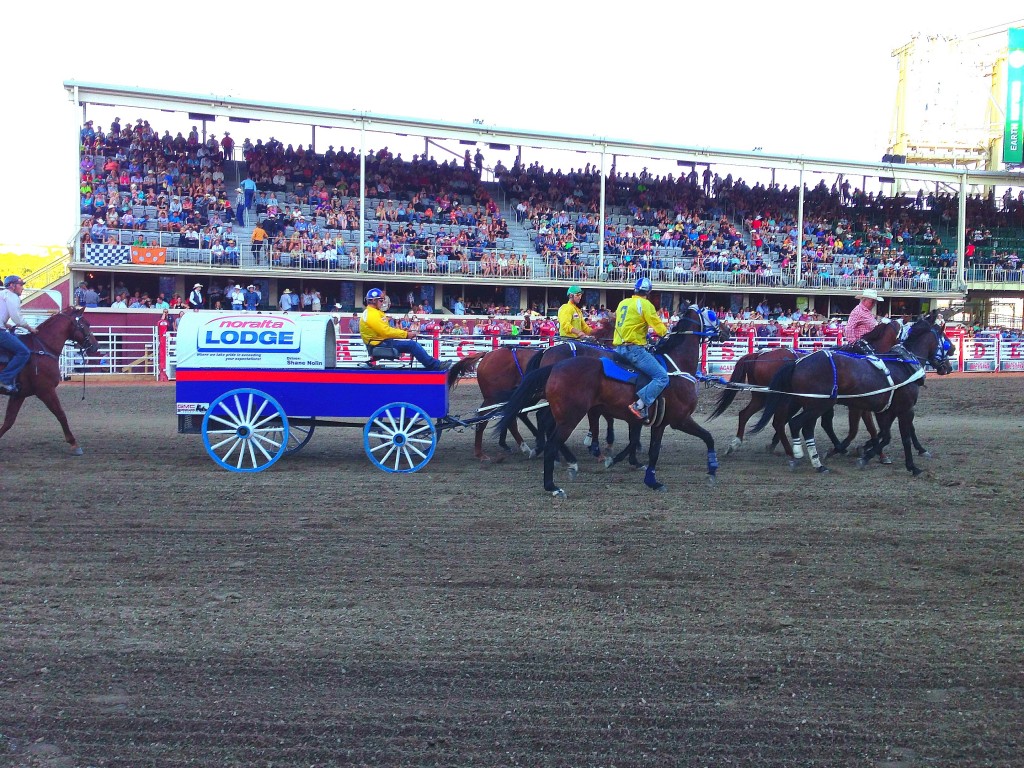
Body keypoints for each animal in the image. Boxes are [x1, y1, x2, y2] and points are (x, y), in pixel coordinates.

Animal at [0, 305, 99, 454]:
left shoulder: (19, 394)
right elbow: (61, 414)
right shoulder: (46, 391)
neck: (43, 348)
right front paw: (74, 444)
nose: (96, 346)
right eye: (86, 324)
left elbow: (8, 421)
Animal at [493, 307, 720, 499]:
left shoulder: (655, 421)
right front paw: (712, 469)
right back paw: (554, 483)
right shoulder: (678, 419)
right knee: (549, 439)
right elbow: (706, 437)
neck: (674, 367)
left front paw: (646, 475)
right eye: (712, 315)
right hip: (569, 417)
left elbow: (648, 447)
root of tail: (555, 363)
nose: (721, 333)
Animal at [708, 321, 901, 460]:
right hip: (776, 399)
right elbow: (868, 428)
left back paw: (736, 445)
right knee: (772, 420)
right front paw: (878, 453)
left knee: (746, 415)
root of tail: (757, 355)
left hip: (761, 397)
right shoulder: (859, 404)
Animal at [745, 313, 950, 475]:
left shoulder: (884, 409)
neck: (903, 364)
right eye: (945, 341)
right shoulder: (903, 409)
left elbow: (884, 435)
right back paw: (807, 459)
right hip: (817, 404)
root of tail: (797, 362)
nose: (947, 367)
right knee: (796, 424)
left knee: (790, 424)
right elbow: (900, 436)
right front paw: (912, 465)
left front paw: (867, 454)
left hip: (807, 403)